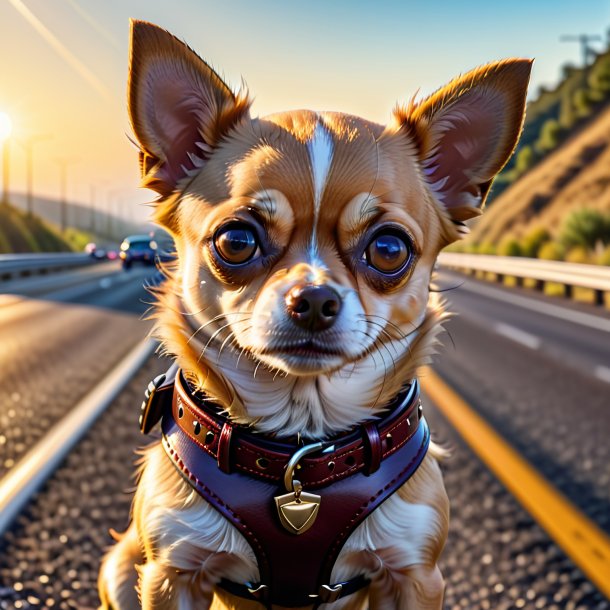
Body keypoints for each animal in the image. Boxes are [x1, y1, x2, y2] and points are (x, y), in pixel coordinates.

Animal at [98, 20, 528, 608]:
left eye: (389, 249)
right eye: (236, 240)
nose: (316, 299)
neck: (300, 449)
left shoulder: (414, 574)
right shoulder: (172, 572)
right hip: (123, 566)